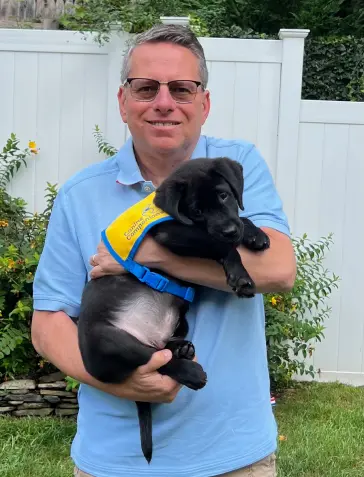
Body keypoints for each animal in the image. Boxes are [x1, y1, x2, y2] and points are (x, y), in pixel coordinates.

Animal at [77, 158, 270, 462]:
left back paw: (182, 348)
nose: (230, 230)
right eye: (197, 211)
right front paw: (240, 275)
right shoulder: (173, 233)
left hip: (180, 319)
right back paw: (189, 370)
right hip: (105, 338)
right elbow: (219, 244)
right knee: (151, 356)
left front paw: (254, 233)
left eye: (224, 195)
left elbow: (241, 220)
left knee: (160, 346)